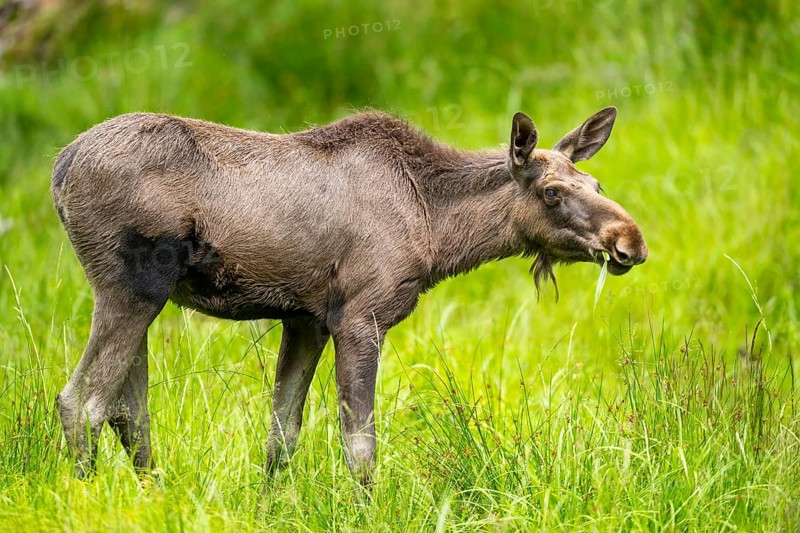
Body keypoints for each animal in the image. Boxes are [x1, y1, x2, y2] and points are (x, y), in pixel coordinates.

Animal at [51, 106, 647, 485]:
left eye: (595, 185)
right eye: (552, 192)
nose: (631, 241)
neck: (437, 228)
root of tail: (61, 166)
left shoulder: (306, 319)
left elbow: (281, 437)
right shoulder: (360, 316)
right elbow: (360, 445)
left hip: (143, 298)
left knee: (129, 413)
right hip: (130, 288)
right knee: (82, 403)